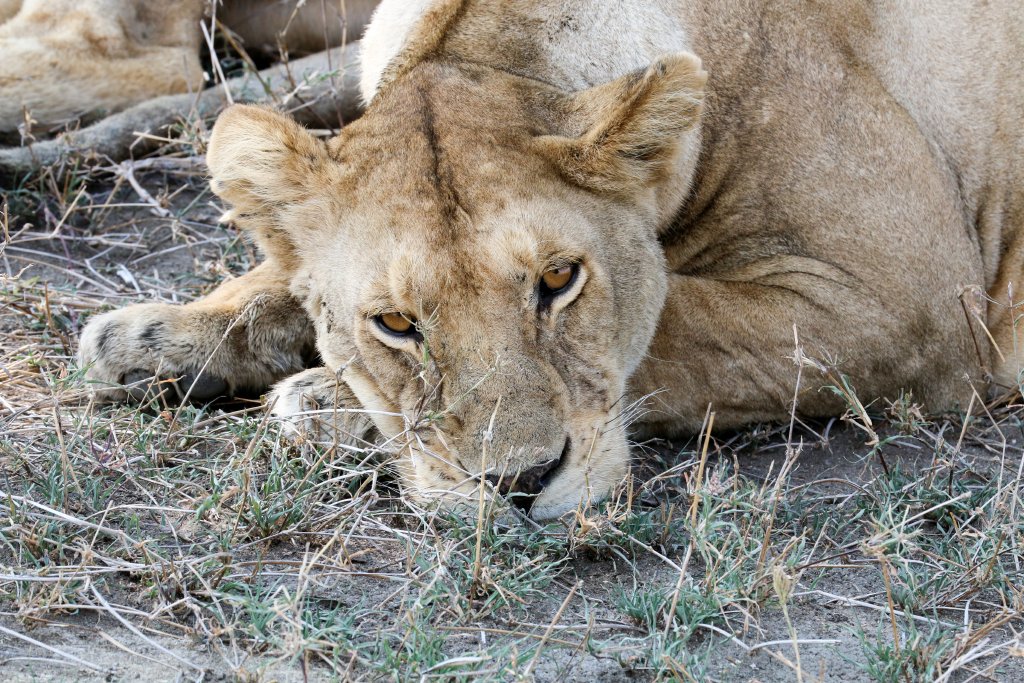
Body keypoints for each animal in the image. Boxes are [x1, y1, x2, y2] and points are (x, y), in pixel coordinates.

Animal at [78, 0, 1024, 519]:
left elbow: (676, 325)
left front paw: (323, 401)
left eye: (559, 280)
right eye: (396, 322)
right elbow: (280, 276)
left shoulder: (910, 302)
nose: (521, 483)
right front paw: (152, 336)